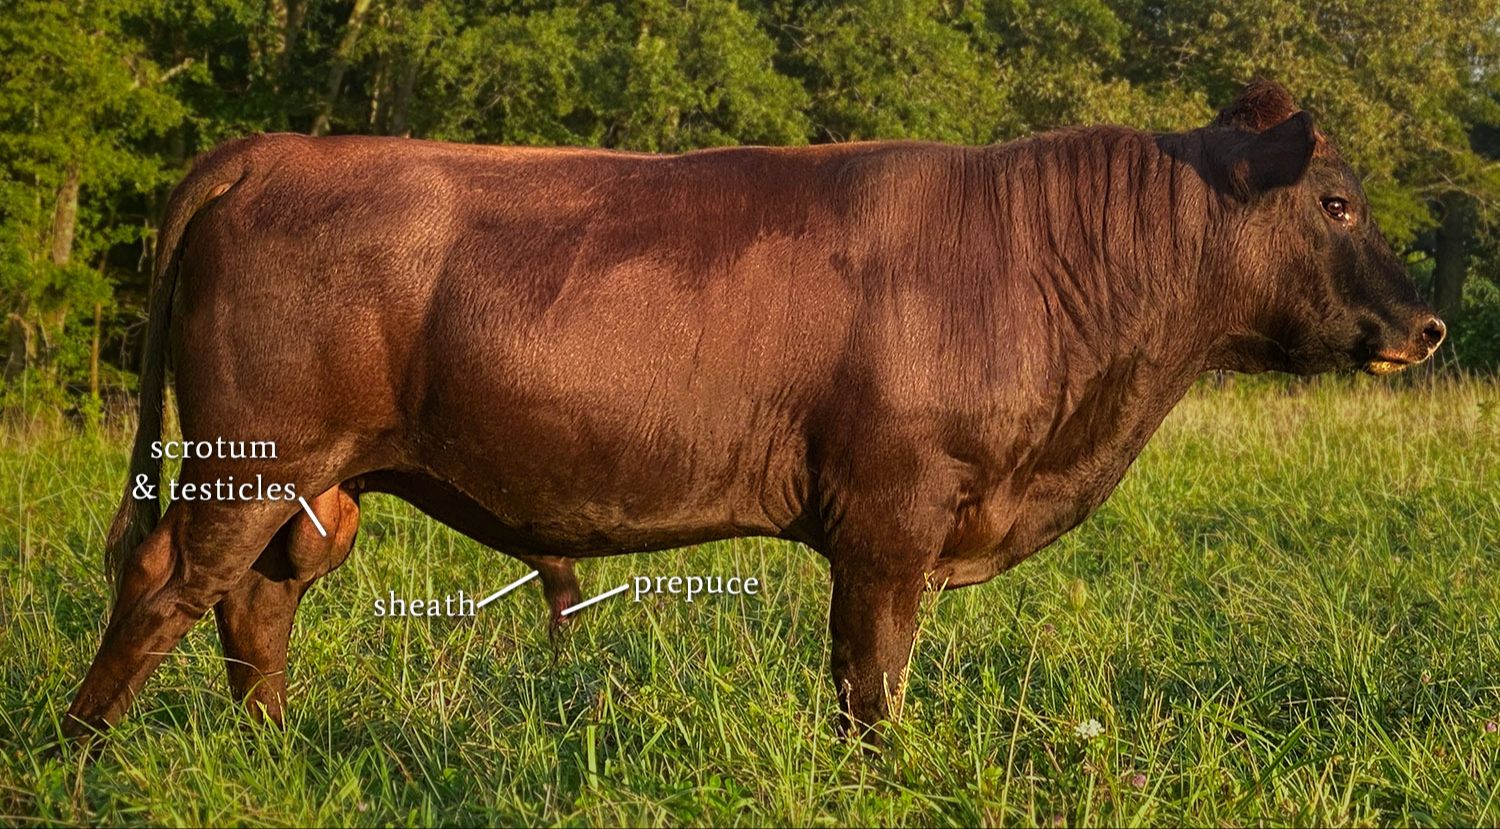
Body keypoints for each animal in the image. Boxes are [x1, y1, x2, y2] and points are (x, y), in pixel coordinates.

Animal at [64, 80, 1444, 742]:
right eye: (1335, 202)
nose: (1429, 328)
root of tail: (280, 148)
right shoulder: (890, 519)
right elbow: (870, 688)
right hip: (251, 459)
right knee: (163, 590)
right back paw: (78, 764)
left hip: (311, 484)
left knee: (257, 610)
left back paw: (272, 756)